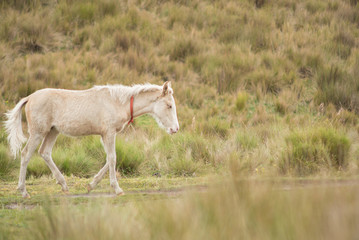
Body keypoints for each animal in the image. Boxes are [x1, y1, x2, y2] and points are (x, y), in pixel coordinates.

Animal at [4, 81, 179, 198]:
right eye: (169, 105)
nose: (175, 129)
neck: (117, 102)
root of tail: (29, 97)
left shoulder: (105, 135)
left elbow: (109, 159)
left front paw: (91, 185)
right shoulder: (109, 133)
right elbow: (112, 158)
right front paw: (117, 189)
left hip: (53, 131)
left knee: (45, 152)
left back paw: (64, 185)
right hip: (38, 133)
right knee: (26, 154)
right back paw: (24, 191)